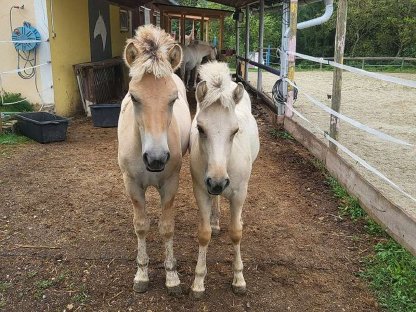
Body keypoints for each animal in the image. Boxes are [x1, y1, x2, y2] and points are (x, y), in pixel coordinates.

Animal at [117, 25, 192, 294]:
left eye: (173, 98)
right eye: (134, 97)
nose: (156, 159)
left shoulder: (170, 183)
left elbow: (166, 227)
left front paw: (172, 277)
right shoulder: (132, 184)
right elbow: (141, 226)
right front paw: (141, 275)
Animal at [189, 61, 260, 298]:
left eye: (235, 130)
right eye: (200, 128)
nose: (218, 182)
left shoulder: (238, 194)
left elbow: (236, 233)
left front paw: (239, 279)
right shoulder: (201, 191)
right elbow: (204, 234)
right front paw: (198, 281)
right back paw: (216, 221)